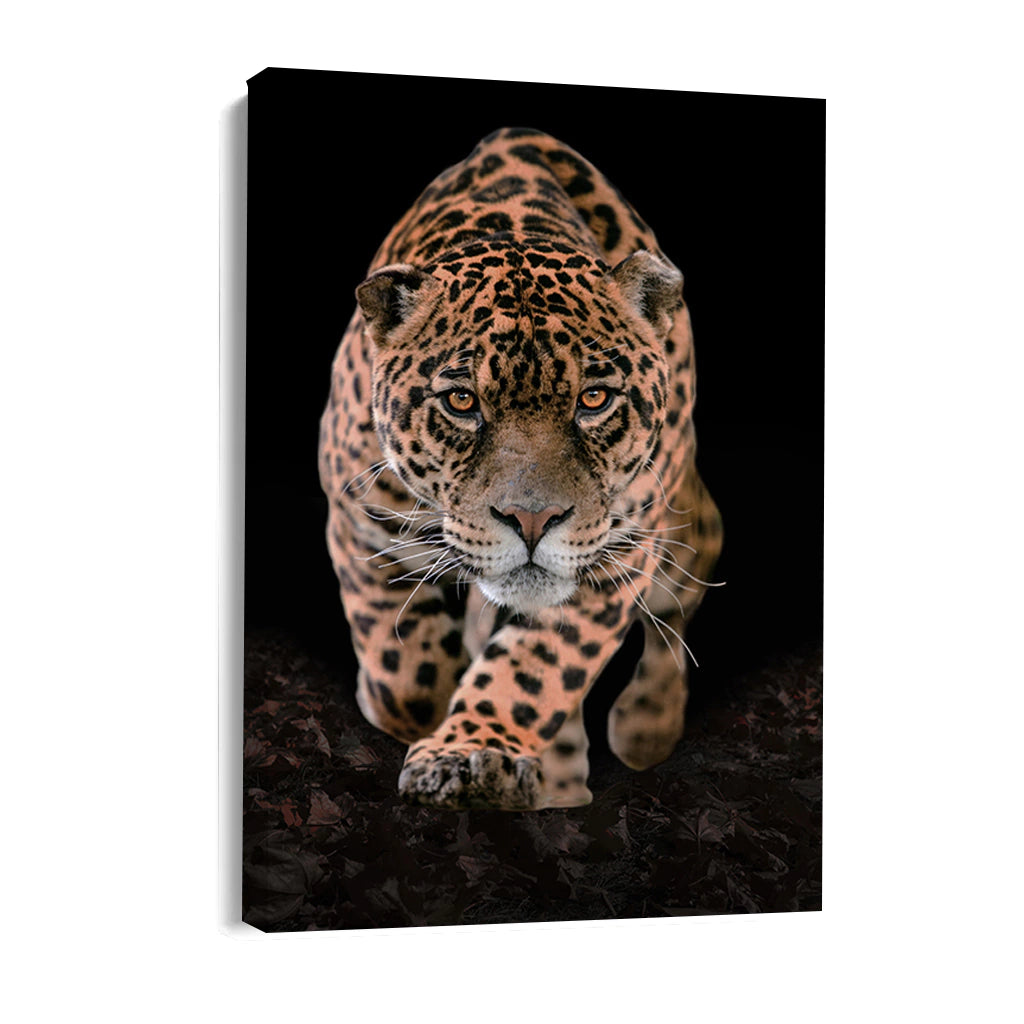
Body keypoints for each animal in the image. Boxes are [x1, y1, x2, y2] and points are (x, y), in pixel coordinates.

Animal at [318, 127, 722, 811]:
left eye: (594, 399)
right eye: (461, 401)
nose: (532, 521)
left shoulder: (619, 552)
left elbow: (536, 669)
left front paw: (472, 754)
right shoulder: (358, 514)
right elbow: (406, 676)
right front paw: (413, 709)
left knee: (683, 594)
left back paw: (643, 729)